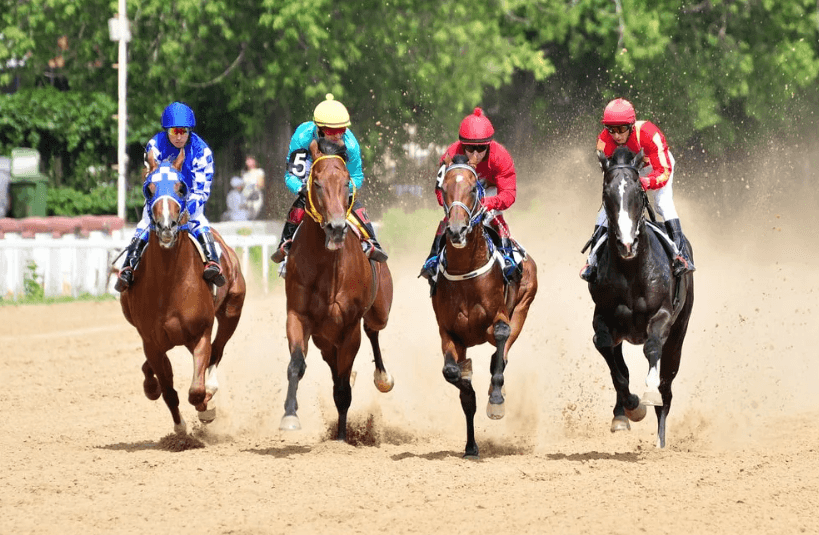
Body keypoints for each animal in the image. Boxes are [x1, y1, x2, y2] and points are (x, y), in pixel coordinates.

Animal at [120, 149, 246, 435]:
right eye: (149, 188)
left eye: (181, 187)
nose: (166, 226)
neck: (170, 284)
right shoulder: (151, 341)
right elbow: (169, 390)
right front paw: (179, 427)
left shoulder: (200, 334)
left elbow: (196, 390)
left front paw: (207, 407)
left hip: (232, 311)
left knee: (217, 350)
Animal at [279, 138, 394, 441]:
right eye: (317, 183)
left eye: (345, 183)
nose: (336, 227)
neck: (327, 265)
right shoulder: (298, 315)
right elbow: (296, 364)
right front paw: (290, 415)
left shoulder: (349, 327)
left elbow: (343, 390)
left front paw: (342, 438)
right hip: (324, 339)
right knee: (333, 367)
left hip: (379, 310)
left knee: (373, 330)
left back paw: (383, 378)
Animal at [430, 154, 538, 457]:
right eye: (443, 188)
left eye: (472, 188)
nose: (456, 230)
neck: (465, 271)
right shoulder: (449, 332)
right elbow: (452, 373)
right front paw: (467, 385)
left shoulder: (499, 318)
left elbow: (500, 339)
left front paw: (496, 399)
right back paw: (471, 446)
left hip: (523, 307)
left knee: (503, 352)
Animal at [588, 146, 694, 448]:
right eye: (606, 192)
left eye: (637, 190)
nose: (626, 244)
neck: (631, 269)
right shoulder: (603, 317)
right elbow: (611, 359)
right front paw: (630, 408)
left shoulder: (663, 316)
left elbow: (652, 350)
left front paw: (647, 394)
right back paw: (621, 413)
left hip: (679, 332)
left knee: (667, 385)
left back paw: (660, 440)